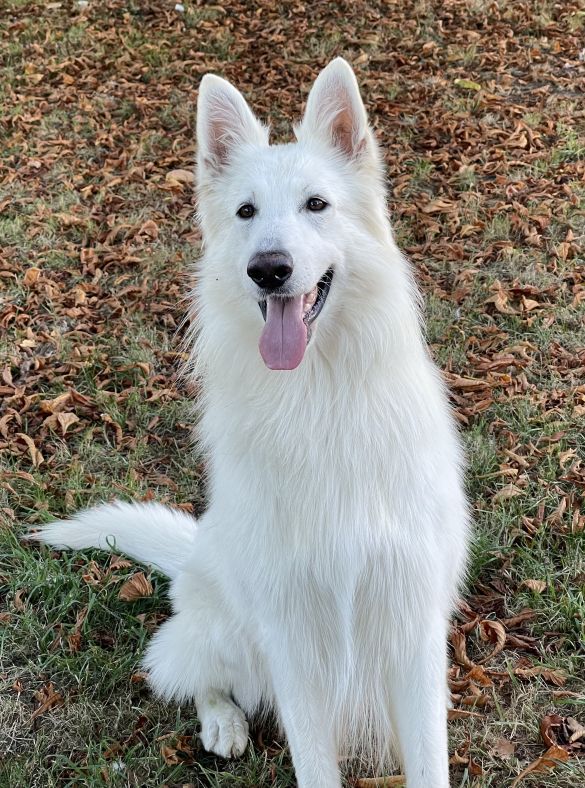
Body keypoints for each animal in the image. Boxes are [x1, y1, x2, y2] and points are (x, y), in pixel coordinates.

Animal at [33, 58, 470, 784]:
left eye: (316, 204)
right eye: (245, 212)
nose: (268, 269)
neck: (318, 401)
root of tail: (192, 554)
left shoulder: (410, 628)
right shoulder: (294, 640)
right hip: (227, 633)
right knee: (187, 672)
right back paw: (222, 722)